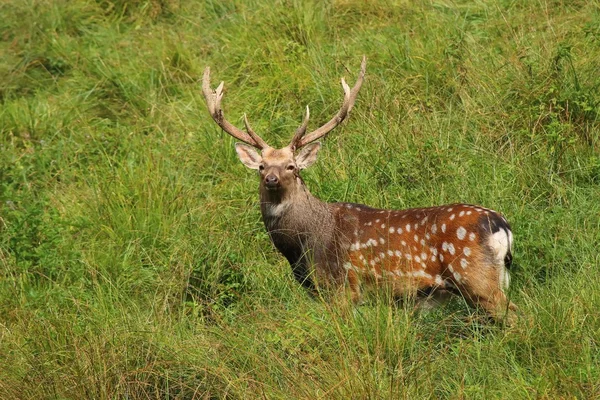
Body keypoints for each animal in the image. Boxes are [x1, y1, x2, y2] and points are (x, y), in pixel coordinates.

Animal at [202, 57, 516, 322]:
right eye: (261, 166)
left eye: (292, 167)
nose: (271, 179)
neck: (302, 246)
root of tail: (502, 226)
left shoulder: (341, 287)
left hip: (476, 277)